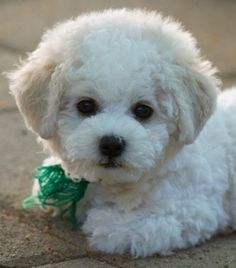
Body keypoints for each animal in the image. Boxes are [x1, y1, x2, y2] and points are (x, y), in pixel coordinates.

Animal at [8, 7, 236, 255]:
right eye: (85, 105)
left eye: (143, 110)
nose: (111, 144)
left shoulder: (191, 209)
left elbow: (122, 227)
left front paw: (101, 220)